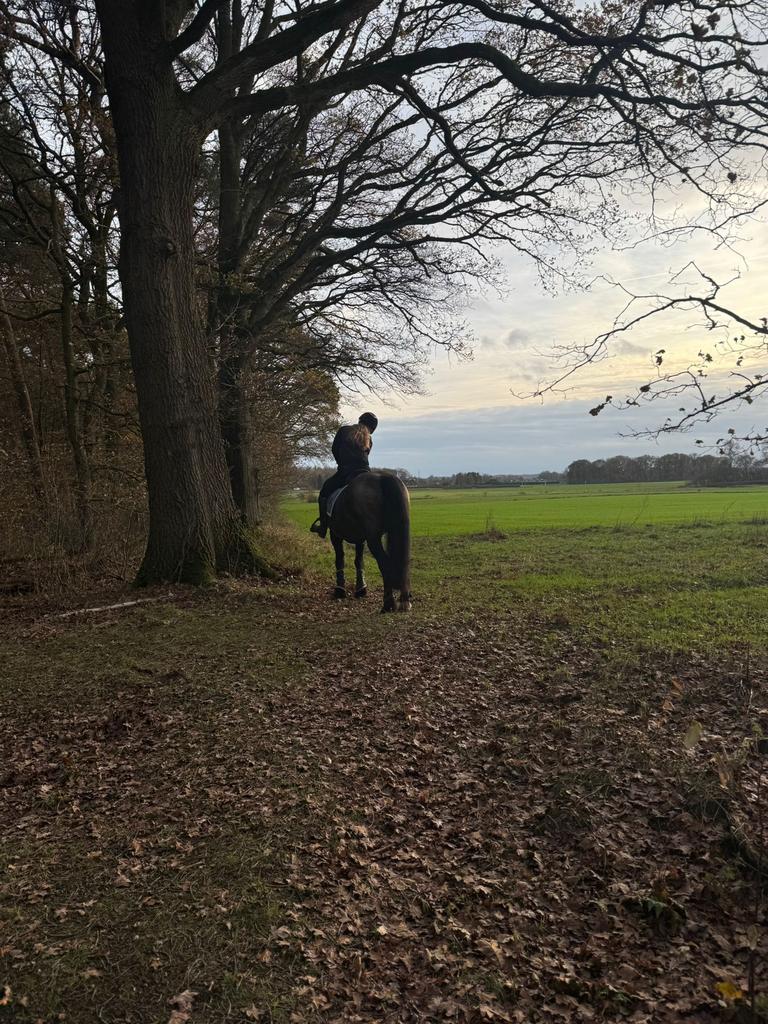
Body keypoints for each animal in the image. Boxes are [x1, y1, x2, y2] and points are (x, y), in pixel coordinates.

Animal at [326, 471, 412, 613]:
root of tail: (382, 476)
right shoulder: (360, 538)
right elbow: (359, 560)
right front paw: (361, 588)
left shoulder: (335, 535)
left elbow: (340, 559)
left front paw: (340, 590)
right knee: (402, 563)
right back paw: (404, 601)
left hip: (373, 539)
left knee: (384, 564)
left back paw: (388, 604)